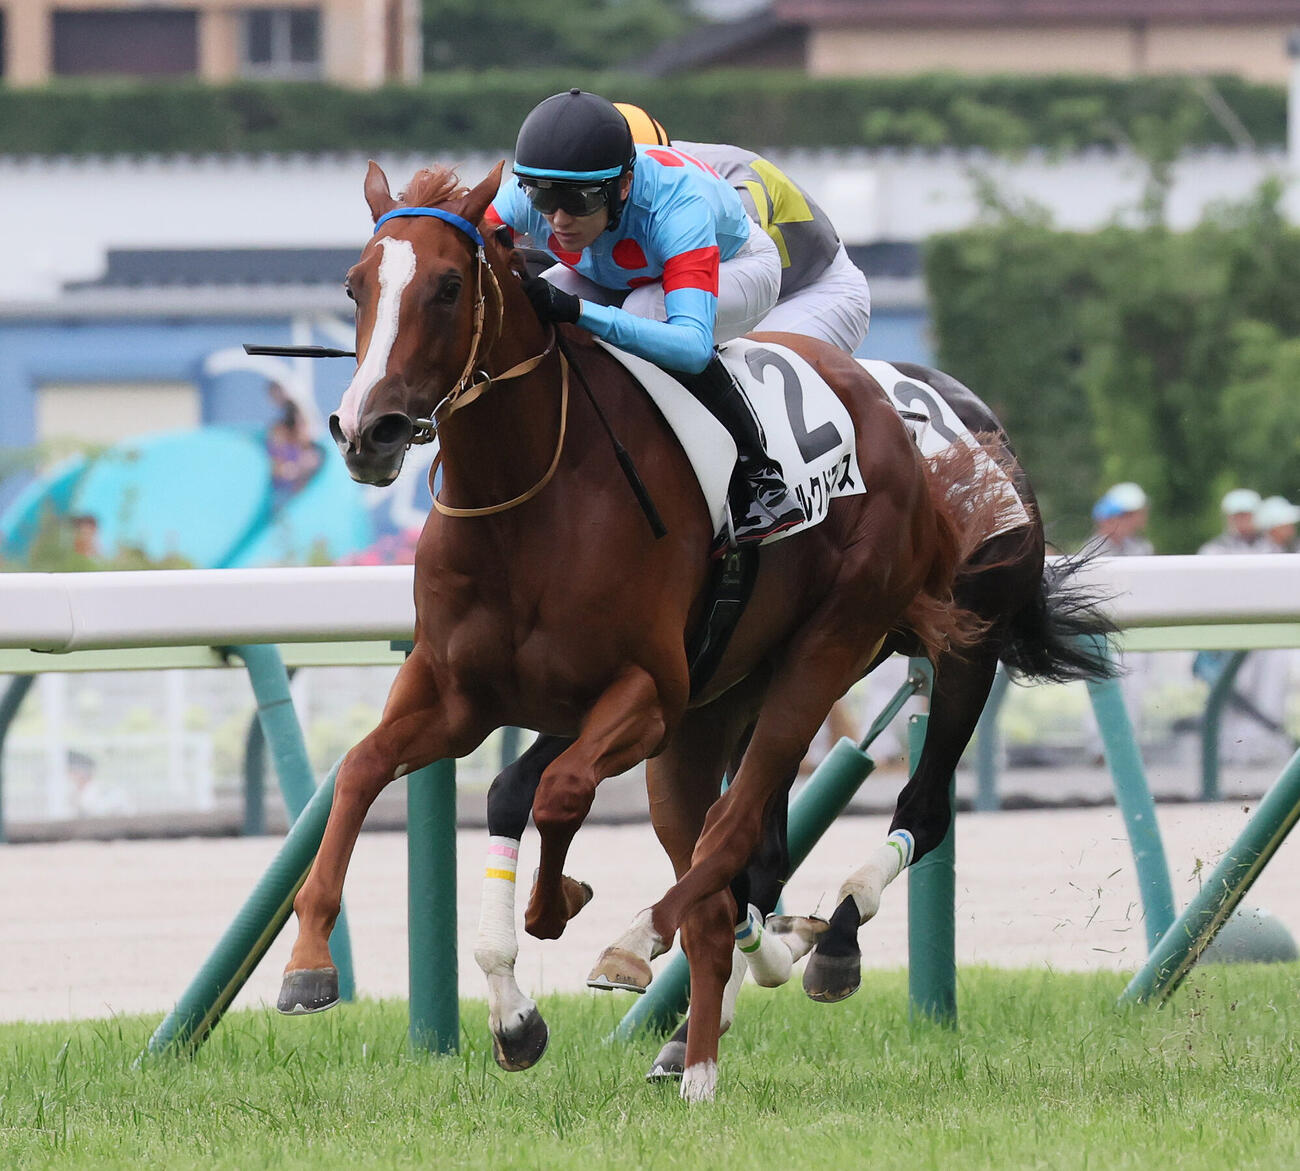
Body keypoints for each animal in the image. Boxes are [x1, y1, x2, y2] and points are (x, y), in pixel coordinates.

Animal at [275, 160, 1111, 1102]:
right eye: (356, 286)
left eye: (450, 286)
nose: (366, 429)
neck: (532, 498)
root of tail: (907, 428)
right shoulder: (458, 692)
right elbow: (366, 771)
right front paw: (313, 963)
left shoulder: (645, 692)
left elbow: (557, 790)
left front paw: (558, 918)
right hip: (719, 705)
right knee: (733, 858)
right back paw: (698, 1049)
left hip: (868, 652)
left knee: (834, 821)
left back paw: (691, 948)